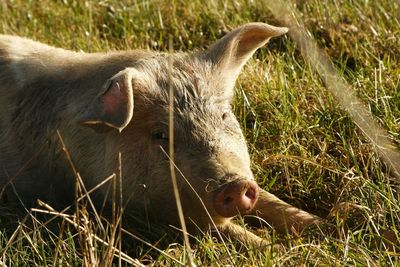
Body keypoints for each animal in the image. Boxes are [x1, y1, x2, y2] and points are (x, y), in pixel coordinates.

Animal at [0, 23, 320, 247]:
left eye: (224, 116)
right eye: (160, 134)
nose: (234, 185)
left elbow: (273, 201)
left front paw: (327, 227)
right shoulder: (150, 209)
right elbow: (222, 229)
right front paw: (281, 249)